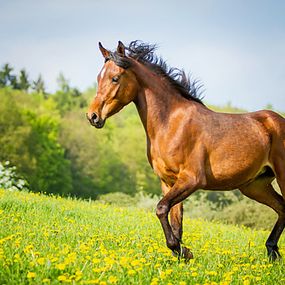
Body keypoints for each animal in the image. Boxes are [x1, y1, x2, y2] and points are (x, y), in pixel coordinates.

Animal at [86, 40, 284, 260]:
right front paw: (181, 254)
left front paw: (183, 251)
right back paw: (272, 251)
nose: (92, 116)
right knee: (282, 208)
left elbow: (161, 209)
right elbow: (175, 222)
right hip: (255, 185)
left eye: (115, 78)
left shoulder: (191, 179)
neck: (171, 123)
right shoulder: (169, 182)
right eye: (98, 78)